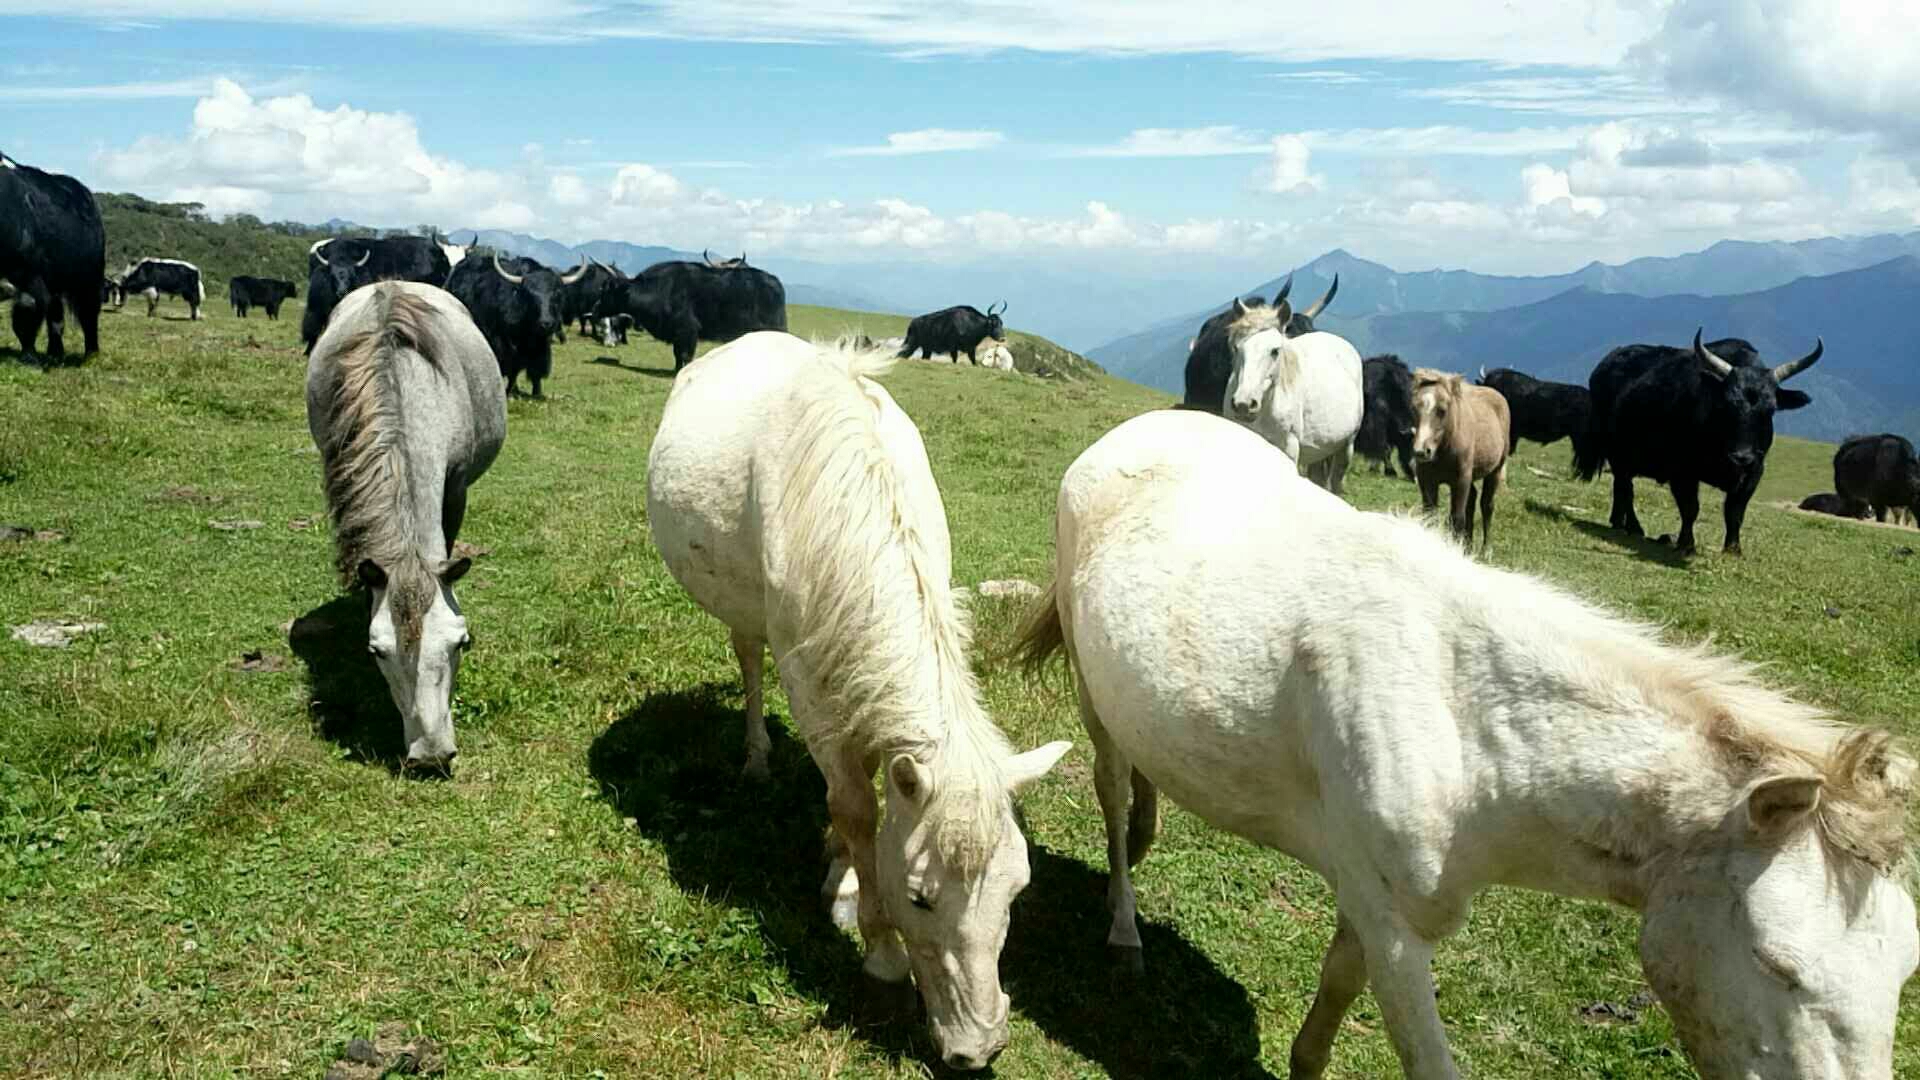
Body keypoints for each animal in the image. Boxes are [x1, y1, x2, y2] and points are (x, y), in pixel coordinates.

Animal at [645, 330, 1067, 1068]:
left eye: (1018, 887)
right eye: (920, 899)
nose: (979, 1047)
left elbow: (868, 787)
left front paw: (841, 872)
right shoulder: (810, 689)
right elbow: (854, 806)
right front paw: (877, 946)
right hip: (745, 614)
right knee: (748, 659)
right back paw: (756, 757)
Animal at [1013, 405, 1912, 1076]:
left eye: (1905, 968)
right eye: (1779, 966)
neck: (1470, 727)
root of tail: (1135, 430)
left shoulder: (1375, 902)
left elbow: (1333, 994)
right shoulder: (1396, 927)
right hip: (1092, 690)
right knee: (1110, 789)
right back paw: (1124, 922)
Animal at [1413, 368, 1512, 553]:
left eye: (1442, 410)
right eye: (1414, 408)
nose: (1421, 451)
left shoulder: (1460, 481)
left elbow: (1457, 519)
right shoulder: (1427, 481)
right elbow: (1430, 516)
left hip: (1495, 471)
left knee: (1487, 505)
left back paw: (1486, 550)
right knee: (1472, 501)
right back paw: (1468, 546)